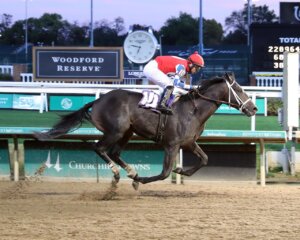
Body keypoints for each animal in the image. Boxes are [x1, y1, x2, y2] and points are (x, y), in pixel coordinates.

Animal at [34, 72, 255, 188]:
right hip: (115, 130)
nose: (253, 108)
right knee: (99, 148)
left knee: (114, 152)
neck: (193, 110)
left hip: (127, 132)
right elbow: (164, 173)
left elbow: (205, 159)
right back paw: (119, 175)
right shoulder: (171, 144)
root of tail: (98, 100)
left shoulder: (189, 142)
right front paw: (141, 180)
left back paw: (131, 172)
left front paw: (181, 170)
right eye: (240, 89)